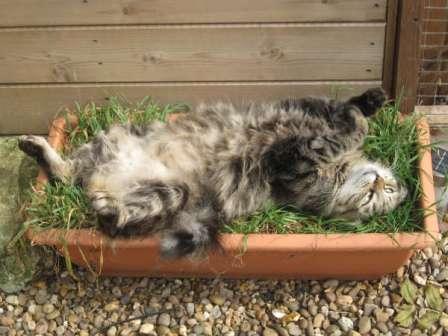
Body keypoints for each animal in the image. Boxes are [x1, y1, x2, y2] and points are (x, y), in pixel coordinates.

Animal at [20, 88, 406, 258]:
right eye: (379, 192)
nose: (381, 183)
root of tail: (102, 182)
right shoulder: (304, 108)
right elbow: (344, 113)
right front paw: (371, 100)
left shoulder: (291, 166)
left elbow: (341, 133)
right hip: (112, 139)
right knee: (67, 173)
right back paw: (35, 146)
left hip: (171, 193)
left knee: (107, 216)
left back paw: (108, 212)